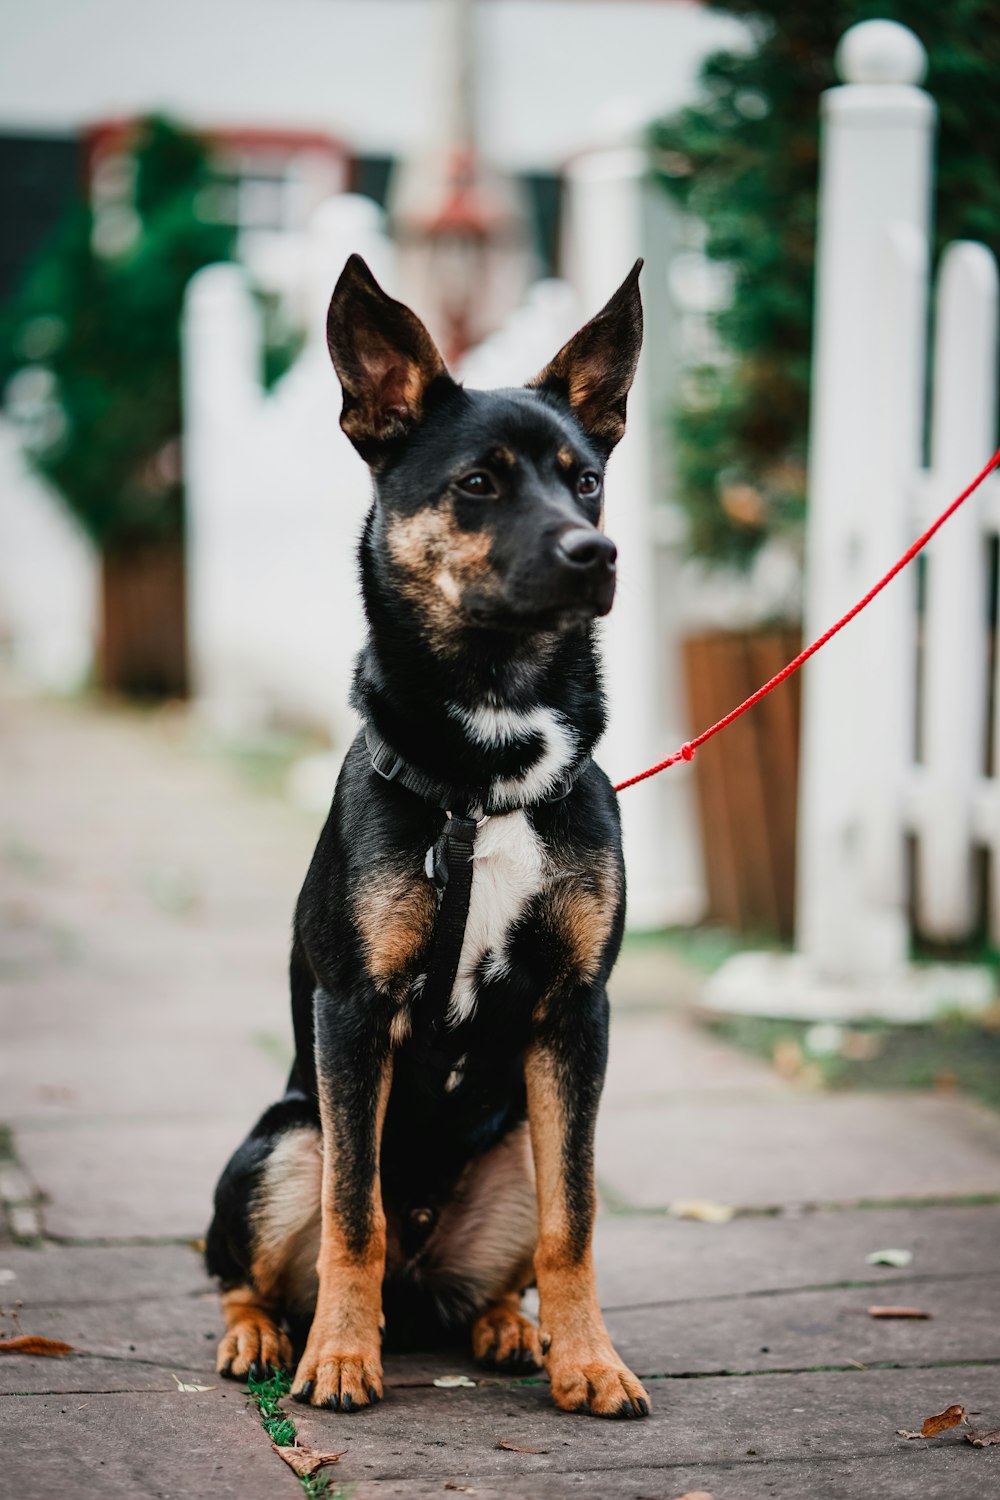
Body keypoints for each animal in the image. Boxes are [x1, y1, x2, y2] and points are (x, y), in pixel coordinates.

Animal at [208, 252, 650, 1410]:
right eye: (479, 484)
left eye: (586, 480)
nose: (596, 551)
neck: (487, 770)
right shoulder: (352, 1015)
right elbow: (352, 1216)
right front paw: (337, 1360)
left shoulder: (576, 1017)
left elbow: (576, 1221)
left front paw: (591, 1360)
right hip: (282, 1139)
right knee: (252, 1263)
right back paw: (268, 1338)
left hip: (516, 1145)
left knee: (503, 1266)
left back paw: (510, 1330)